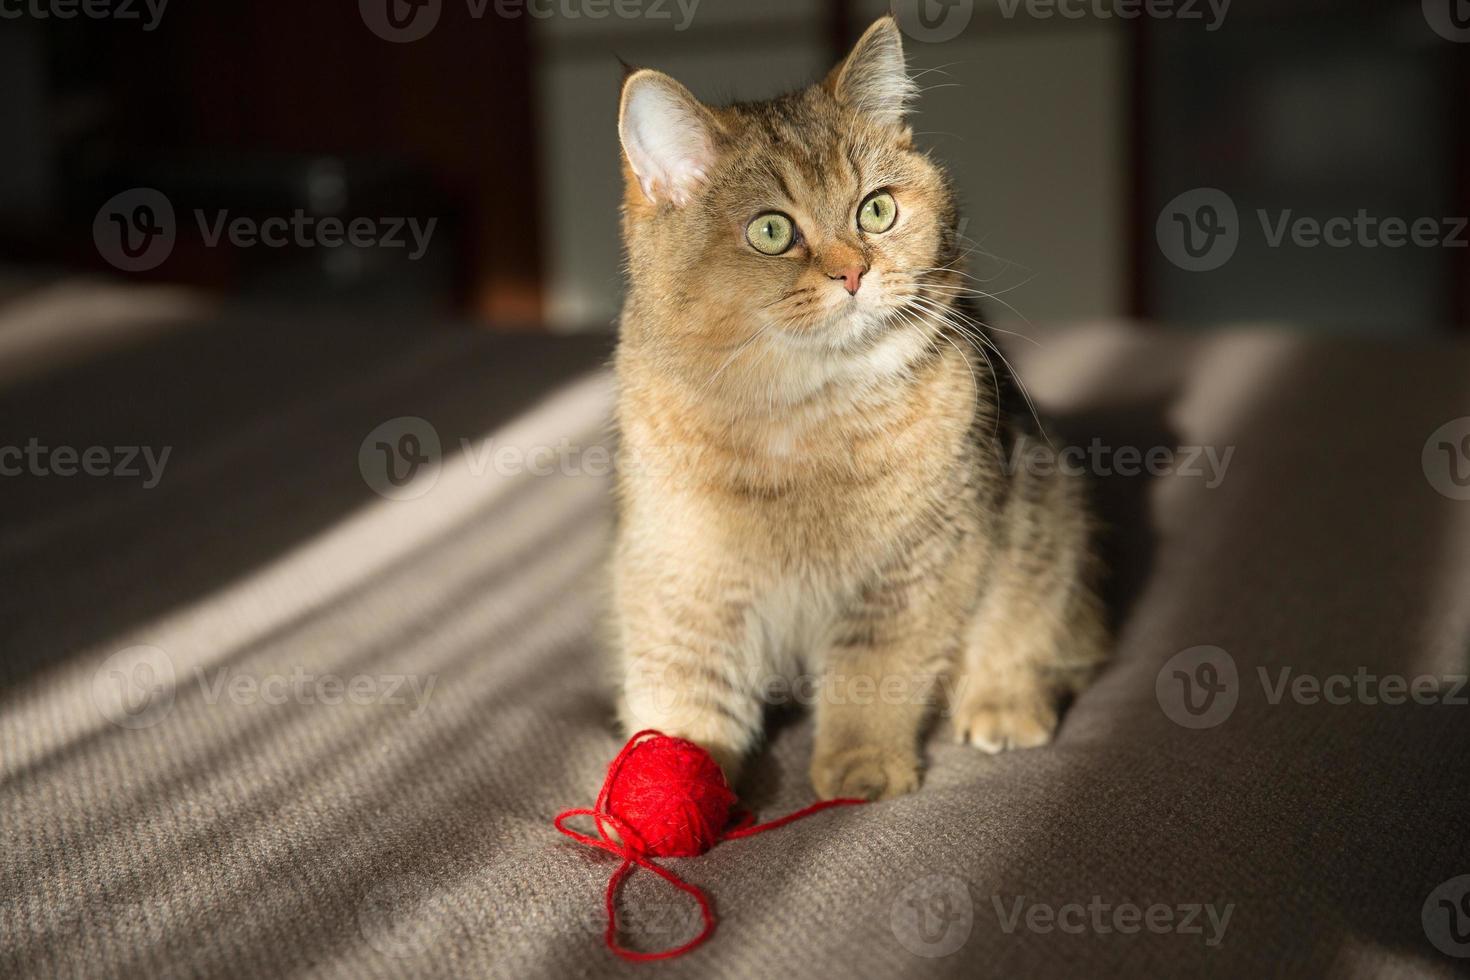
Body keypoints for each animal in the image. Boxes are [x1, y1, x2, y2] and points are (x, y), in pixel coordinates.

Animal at [605, 11, 1105, 799]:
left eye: (877, 209)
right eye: (771, 231)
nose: (853, 273)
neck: (798, 412)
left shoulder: (914, 567)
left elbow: (874, 673)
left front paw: (861, 765)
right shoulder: (681, 571)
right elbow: (683, 681)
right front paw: (672, 769)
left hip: (1046, 516)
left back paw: (1003, 701)